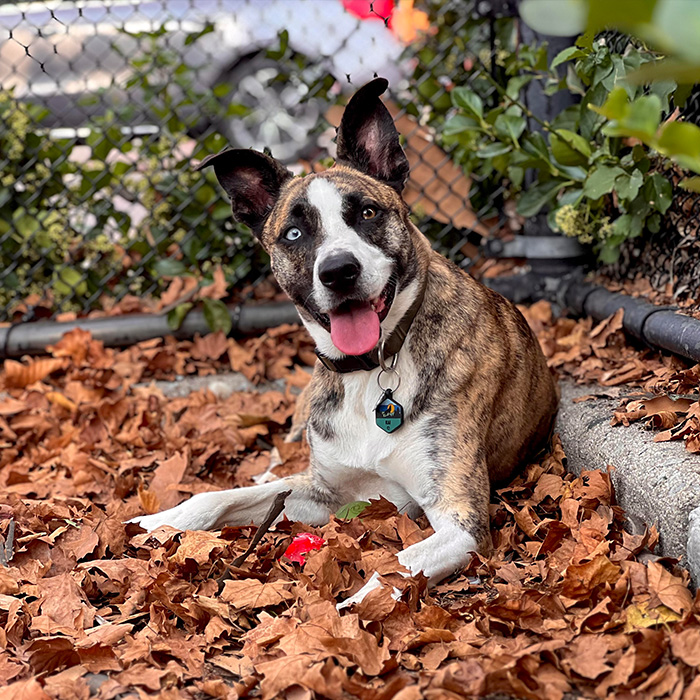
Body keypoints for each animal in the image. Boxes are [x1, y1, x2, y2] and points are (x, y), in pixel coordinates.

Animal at [130, 78, 556, 608]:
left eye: (368, 213)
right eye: (294, 233)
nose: (338, 271)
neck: (371, 370)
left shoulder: (462, 520)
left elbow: (397, 564)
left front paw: (354, 608)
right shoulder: (325, 492)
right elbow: (217, 496)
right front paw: (156, 521)